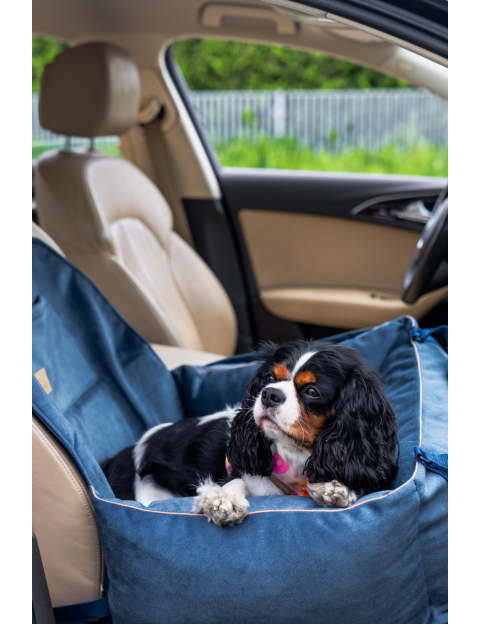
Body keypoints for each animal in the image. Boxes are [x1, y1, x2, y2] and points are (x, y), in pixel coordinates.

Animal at [103, 340, 399, 526]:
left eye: (312, 391)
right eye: (269, 379)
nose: (269, 394)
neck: (293, 454)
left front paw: (334, 487)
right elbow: (239, 481)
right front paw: (224, 499)